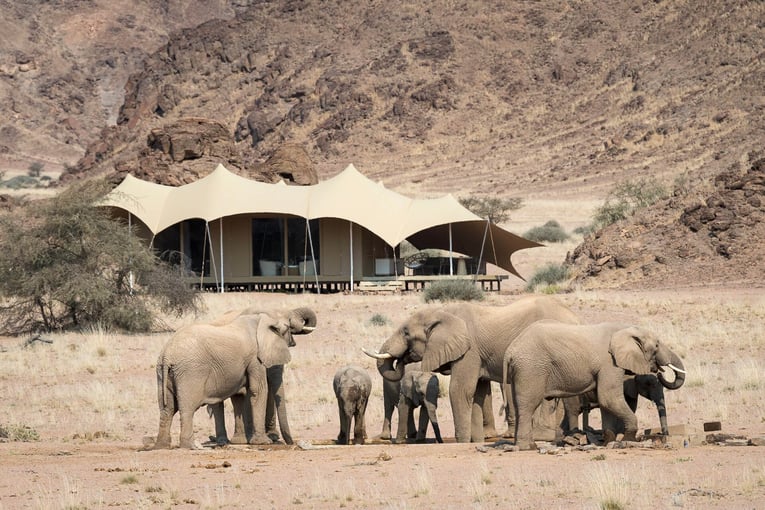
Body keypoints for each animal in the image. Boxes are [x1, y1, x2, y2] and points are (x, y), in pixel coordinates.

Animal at [364, 294, 580, 442]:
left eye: (406, 333)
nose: (401, 360)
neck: (443, 312)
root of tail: (576, 317)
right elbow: (477, 392)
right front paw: (475, 440)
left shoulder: (469, 351)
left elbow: (460, 390)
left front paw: (461, 441)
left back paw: (545, 435)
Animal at [502, 320, 688, 448]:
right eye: (656, 345)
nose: (660, 371)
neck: (624, 329)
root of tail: (510, 350)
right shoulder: (610, 363)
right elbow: (608, 398)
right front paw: (628, 439)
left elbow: (606, 402)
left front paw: (608, 442)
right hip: (531, 368)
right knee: (528, 405)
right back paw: (528, 447)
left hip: (523, 370)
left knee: (520, 405)